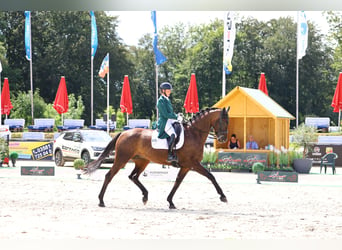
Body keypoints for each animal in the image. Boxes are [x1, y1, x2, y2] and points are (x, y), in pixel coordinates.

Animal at [85, 106, 230, 208]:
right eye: (223, 121)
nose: (223, 139)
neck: (194, 133)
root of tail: (123, 133)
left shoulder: (186, 166)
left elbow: (178, 182)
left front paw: (170, 202)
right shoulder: (193, 164)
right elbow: (211, 176)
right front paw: (223, 196)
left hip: (142, 161)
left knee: (133, 176)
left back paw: (145, 196)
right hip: (122, 159)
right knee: (109, 175)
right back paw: (101, 201)